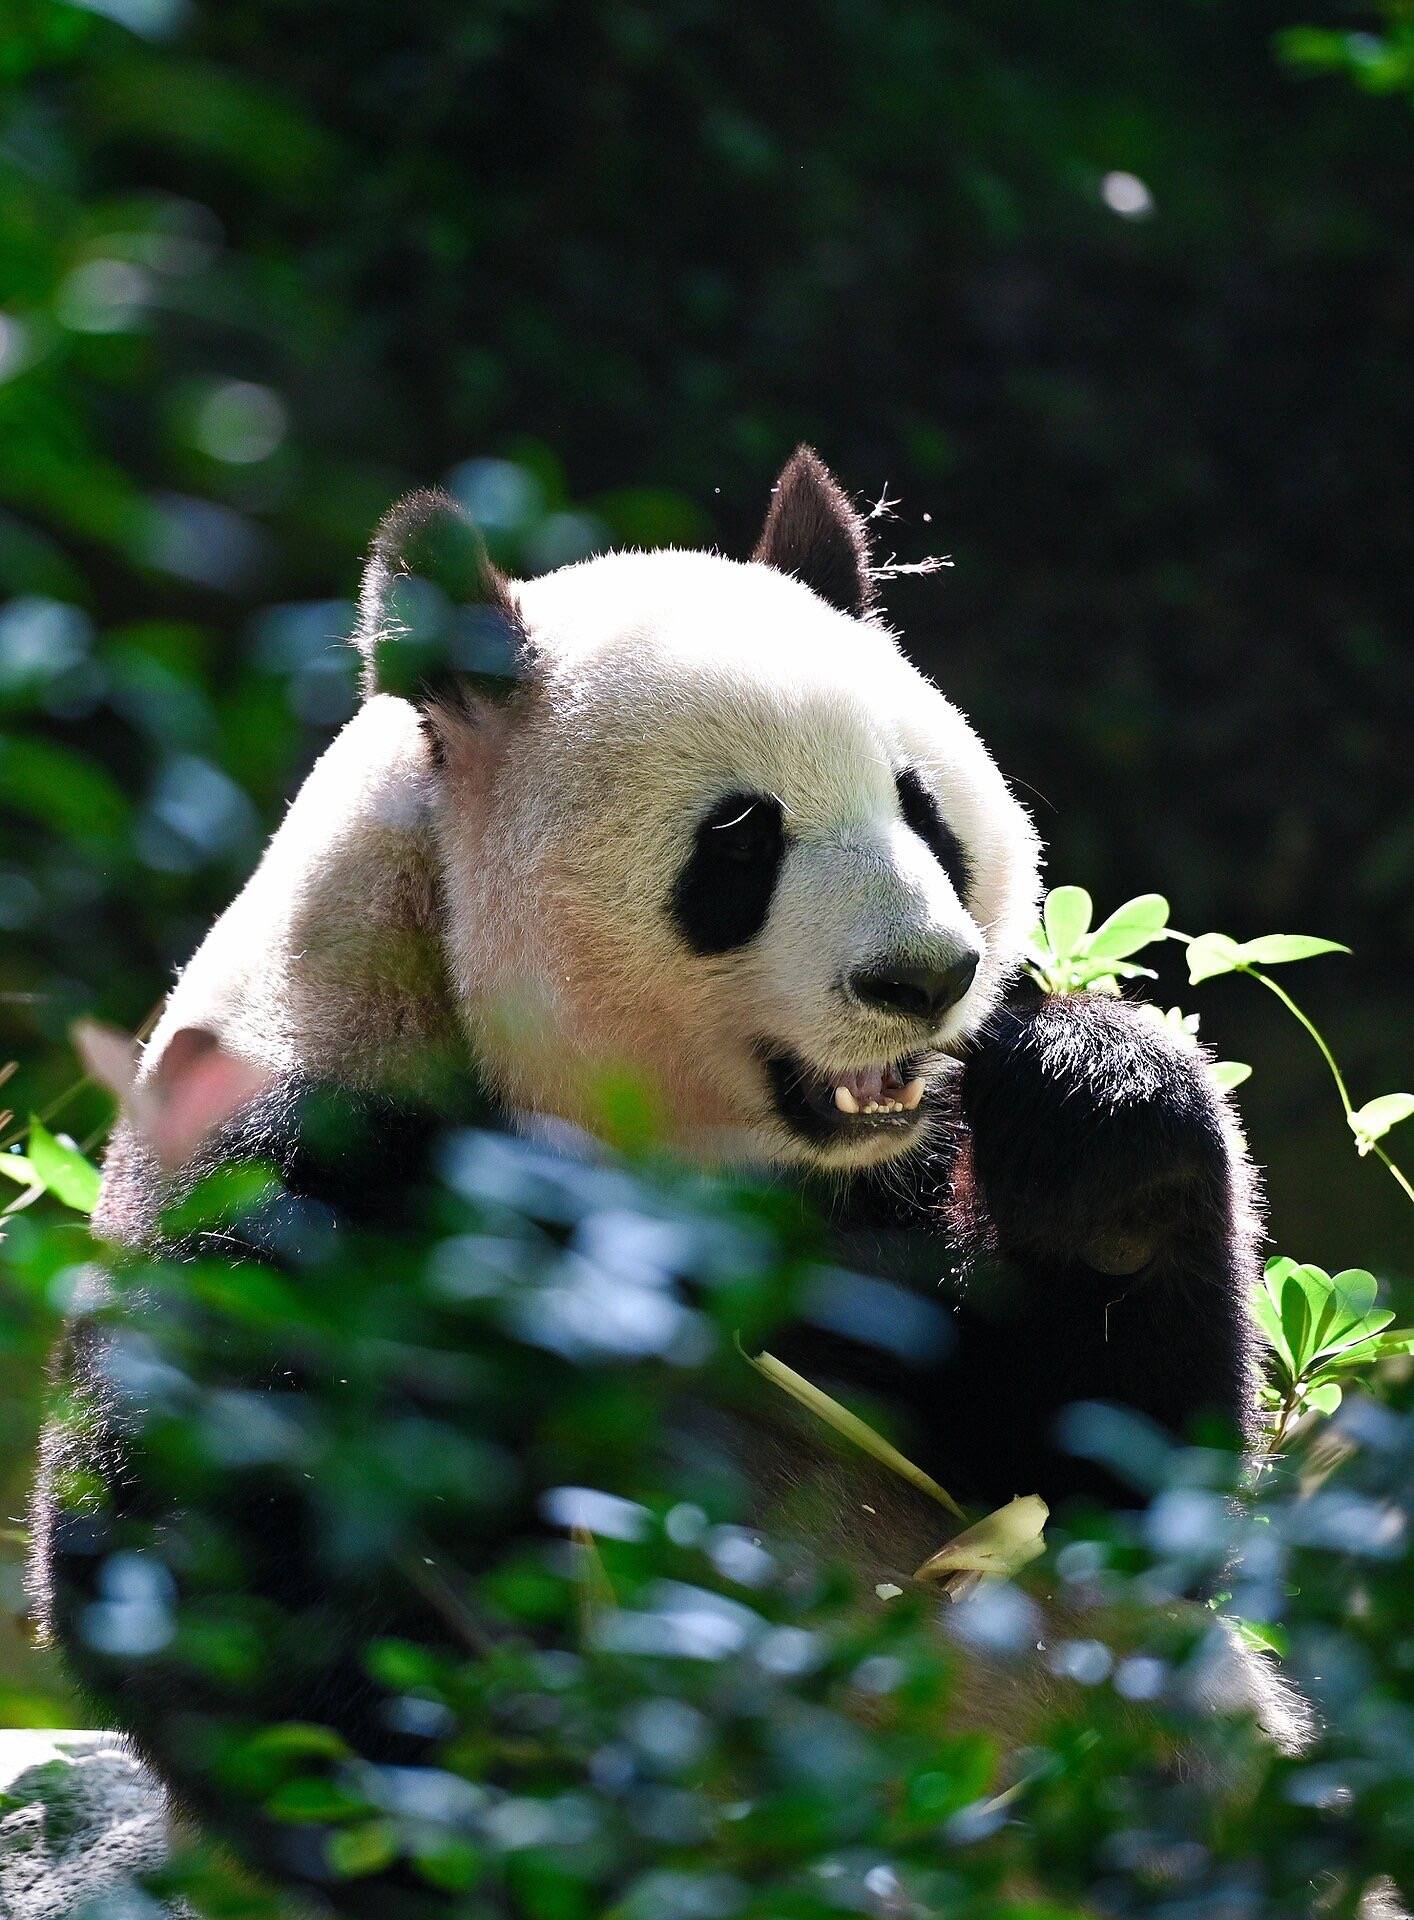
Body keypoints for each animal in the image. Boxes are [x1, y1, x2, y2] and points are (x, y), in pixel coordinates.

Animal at [33, 445, 1291, 1904]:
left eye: (922, 807)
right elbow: (237, 1575)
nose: (922, 979)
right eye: (742, 840)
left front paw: (1095, 1109)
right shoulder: (301, 1167)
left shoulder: (885, 1193)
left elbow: (1088, 1496)